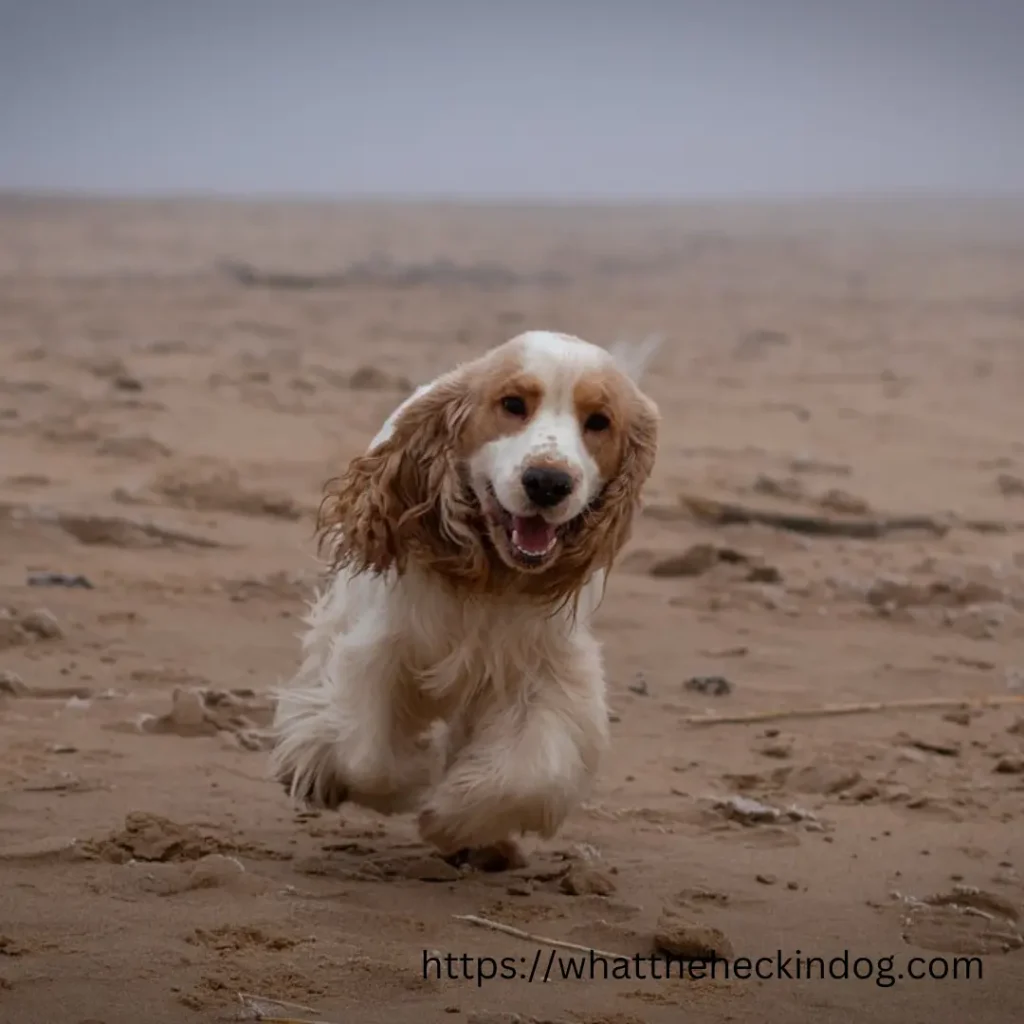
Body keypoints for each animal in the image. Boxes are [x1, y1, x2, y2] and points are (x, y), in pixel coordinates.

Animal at [268, 331, 659, 860]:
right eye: (512, 404)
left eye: (599, 421)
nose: (548, 482)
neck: (493, 573)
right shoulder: (381, 647)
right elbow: (366, 756)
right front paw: (409, 780)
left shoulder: (544, 670)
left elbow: (529, 776)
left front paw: (453, 821)